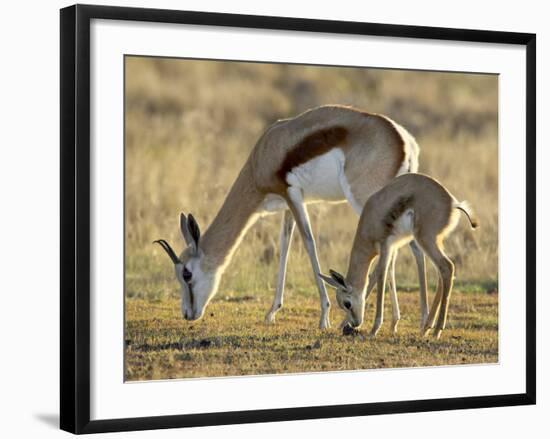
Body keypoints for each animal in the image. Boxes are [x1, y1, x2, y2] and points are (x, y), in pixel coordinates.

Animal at [154, 104, 432, 330]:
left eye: (186, 273)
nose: (187, 314)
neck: (263, 157)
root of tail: (403, 139)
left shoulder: (292, 195)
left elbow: (309, 244)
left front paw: (324, 318)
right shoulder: (289, 205)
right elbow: (284, 247)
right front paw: (271, 313)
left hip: (366, 200)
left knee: (399, 249)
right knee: (409, 248)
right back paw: (409, 322)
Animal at [322, 174, 480, 338]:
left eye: (347, 303)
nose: (354, 324)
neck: (371, 220)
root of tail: (453, 203)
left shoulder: (385, 247)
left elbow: (380, 276)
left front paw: (374, 330)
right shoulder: (393, 249)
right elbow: (387, 275)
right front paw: (392, 325)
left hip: (425, 240)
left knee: (447, 267)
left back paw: (436, 331)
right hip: (435, 242)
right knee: (441, 274)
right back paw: (426, 328)